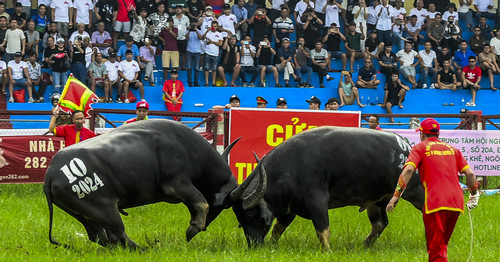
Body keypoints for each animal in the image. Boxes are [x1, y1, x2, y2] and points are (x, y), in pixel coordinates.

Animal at [45, 119, 268, 249]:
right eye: (228, 205)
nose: (255, 242)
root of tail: (51, 172)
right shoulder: (179, 185)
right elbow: (201, 202)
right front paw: (192, 230)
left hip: (84, 214)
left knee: (101, 237)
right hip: (105, 210)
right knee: (117, 234)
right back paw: (146, 248)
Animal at [232, 126, 424, 250]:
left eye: (250, 215)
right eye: (239, 220)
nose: (253, 245)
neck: (290, 167)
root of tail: (407, 147)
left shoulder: (316, 202)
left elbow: (322, 230)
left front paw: (327, 251)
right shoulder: (290, 209)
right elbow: (277, 229)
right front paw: (272, 246)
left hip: (416, 192)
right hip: (377, 202)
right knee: (379, 224)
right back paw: (363, 247)